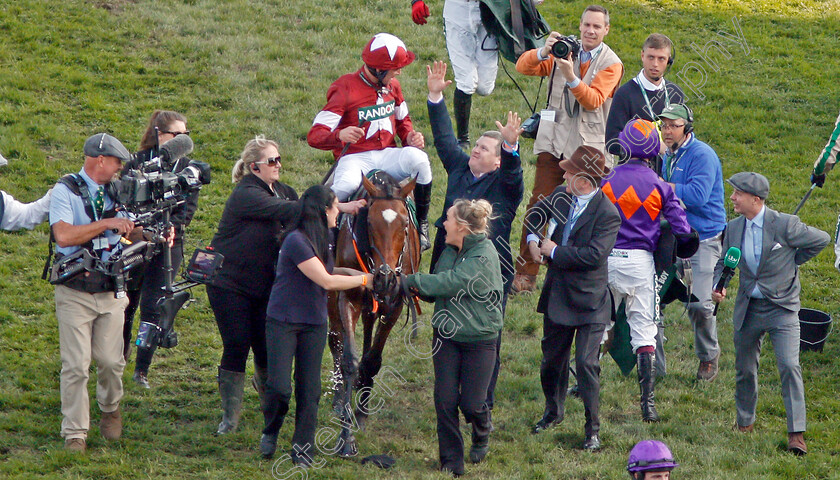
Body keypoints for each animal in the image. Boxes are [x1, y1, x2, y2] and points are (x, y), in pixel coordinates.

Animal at [326, 172, 420, 458]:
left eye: (404, 224)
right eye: (369, 222)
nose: (385, 277)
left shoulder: (394, 304)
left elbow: (373, 360)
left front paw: (362, 411)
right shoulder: (348, 297)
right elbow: (349, 359)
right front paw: (346, 437)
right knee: (335, 340)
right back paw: (338, 396)